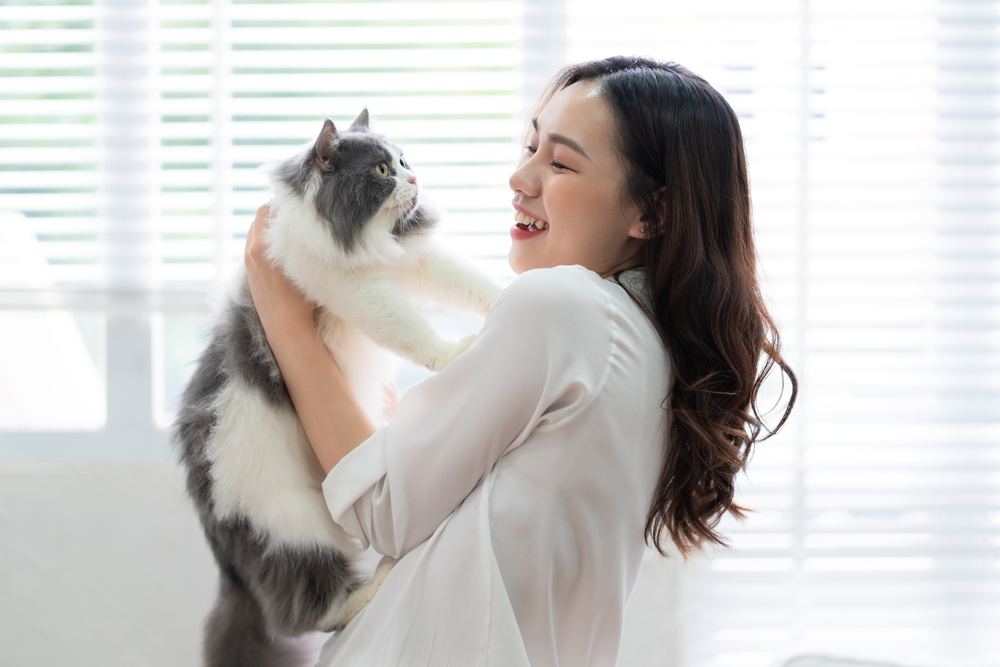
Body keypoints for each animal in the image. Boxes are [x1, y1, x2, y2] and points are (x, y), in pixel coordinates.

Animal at [172, 111, 504, 667]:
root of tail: (228, 565)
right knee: (312, 610)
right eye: (381, 170)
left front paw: (518, 292)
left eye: (404, 161)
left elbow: (470, 283)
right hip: (294, 531)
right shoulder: (353, 290)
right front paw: (454, 353)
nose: (415, 178)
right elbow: (411, 329)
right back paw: (378, 584)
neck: (366, 240)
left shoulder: (413, 263)